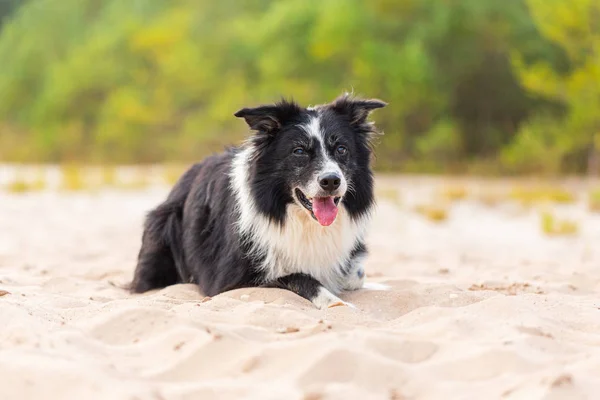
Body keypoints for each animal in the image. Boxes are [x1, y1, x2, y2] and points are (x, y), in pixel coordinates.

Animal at [130, 94, 390, 310]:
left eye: (341, 149)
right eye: (299, 151)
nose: (331, 181)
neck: (302, 221)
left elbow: (356, 274)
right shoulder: (229, 280)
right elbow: (299, 277)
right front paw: (334, 302)